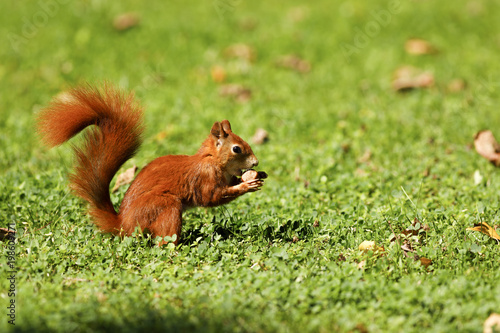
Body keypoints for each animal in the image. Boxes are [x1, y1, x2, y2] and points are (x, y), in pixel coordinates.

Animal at [37, 83, 266, 244]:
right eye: (236, 149)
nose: (255, 162)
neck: (212, 161)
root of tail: (123, 225)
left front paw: (259, 177)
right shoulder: (204, 178)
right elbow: (212, 197)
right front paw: (247, 185)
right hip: (165, 207)